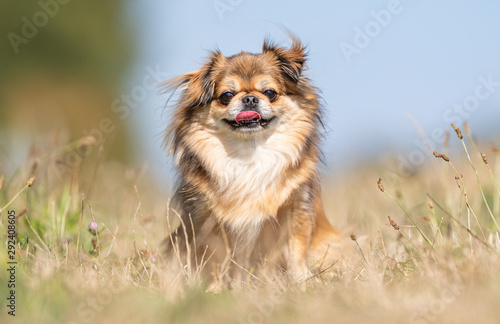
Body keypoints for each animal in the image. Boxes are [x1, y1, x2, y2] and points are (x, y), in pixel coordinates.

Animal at [162, 34, 346, 280]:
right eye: (226, 96)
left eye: (270, 93)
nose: (249, 99)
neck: (249, 154)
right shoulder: (205, 220)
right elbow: (214, 257)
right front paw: (215, 285)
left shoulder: (297, 208)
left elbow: (296, 249)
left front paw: (300, 279)